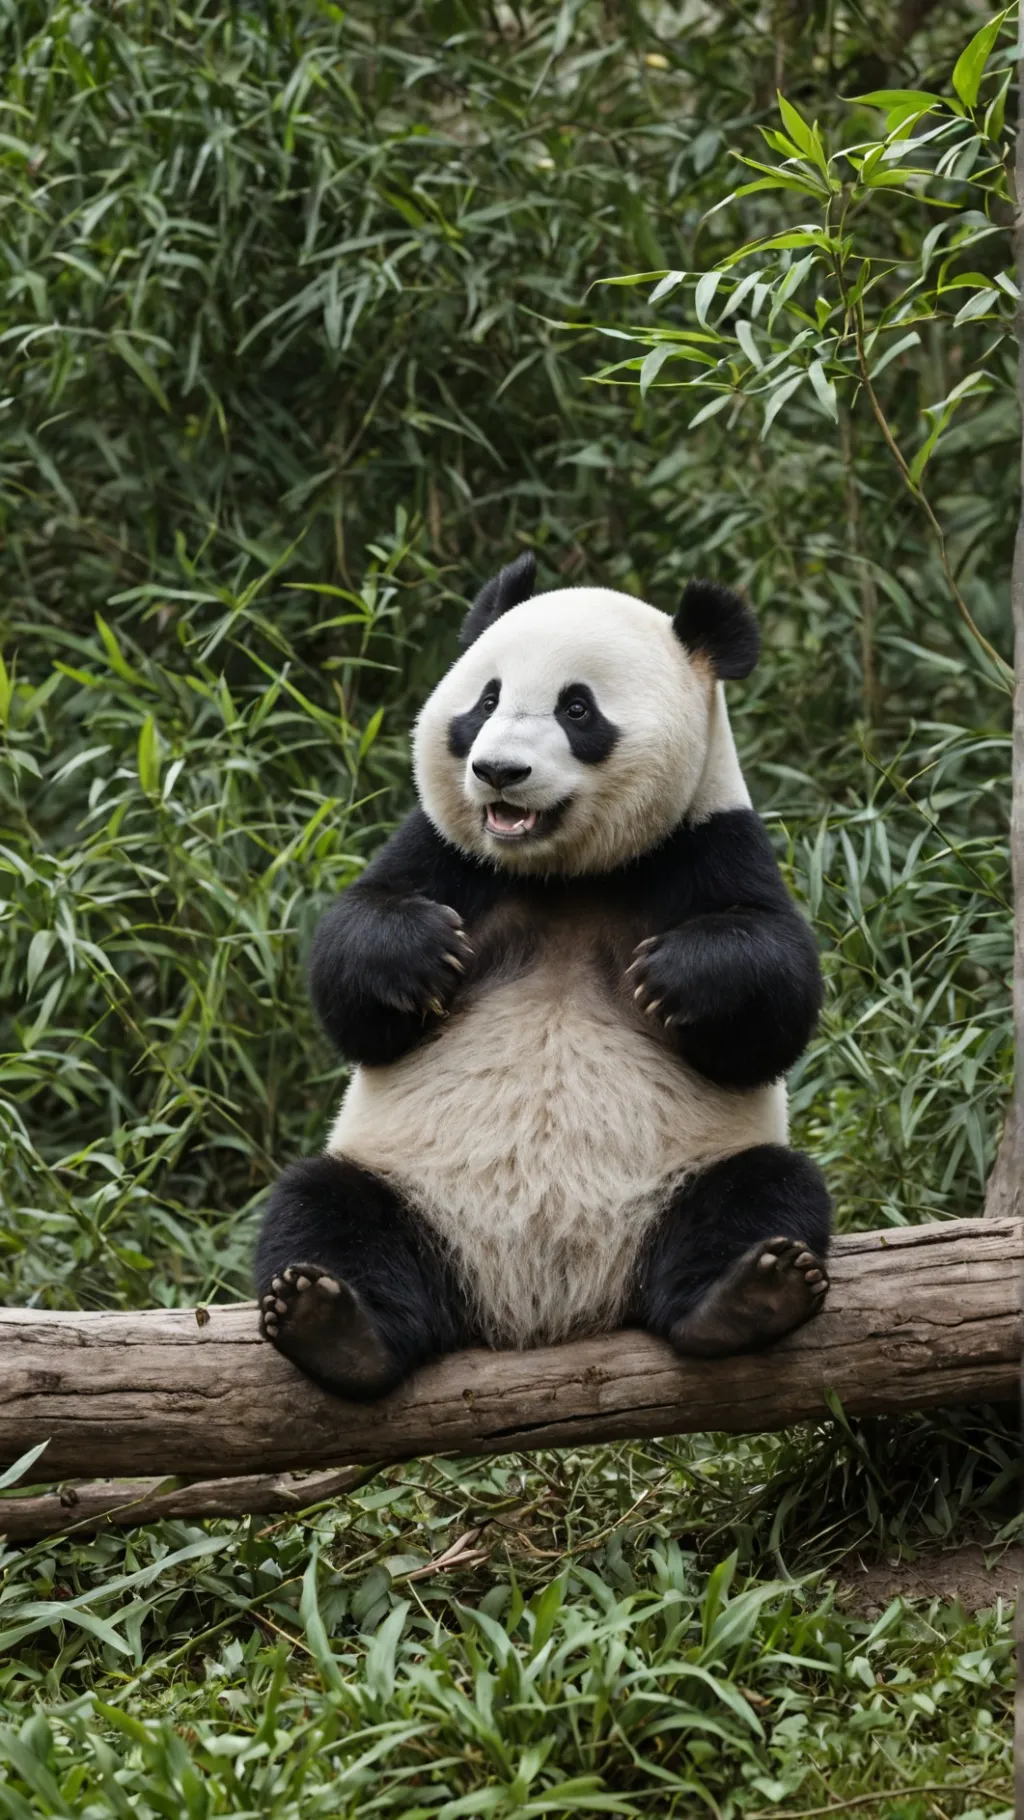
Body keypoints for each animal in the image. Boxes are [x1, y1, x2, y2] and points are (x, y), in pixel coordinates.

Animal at [255, 553, 831, 1397]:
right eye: (487, 698)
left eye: (577, 709)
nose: (499, 771)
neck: (562, 872)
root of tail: (537, 1310)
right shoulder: (444, 853)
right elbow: (349, 976)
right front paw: (422, 953)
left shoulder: (709, 842)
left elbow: (777, 998)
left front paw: (677, 977)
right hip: (409, 1190)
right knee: (325, 1209)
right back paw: (332, 1324)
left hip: (684, 1181)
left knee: (764, 1192)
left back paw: (747, 1296)